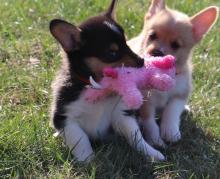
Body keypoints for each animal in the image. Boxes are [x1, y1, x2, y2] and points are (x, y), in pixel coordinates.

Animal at [49, 0, 164, 162]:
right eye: (112, 53)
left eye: (126, 43)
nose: (142, 61)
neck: (99, 88)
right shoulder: (65, 118)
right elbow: (80, 139)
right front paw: (88, 160)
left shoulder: (122, 115)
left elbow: (136, 137)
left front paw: (151, 153)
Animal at [128, 0, 219, 147]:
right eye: (152, 36)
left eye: (176, 45)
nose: (157, 52)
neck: (163, 73)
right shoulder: (146, 100)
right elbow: (149, 121)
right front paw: (155, 139)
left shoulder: (180, 94)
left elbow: (172, 111)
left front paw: (170, 131)